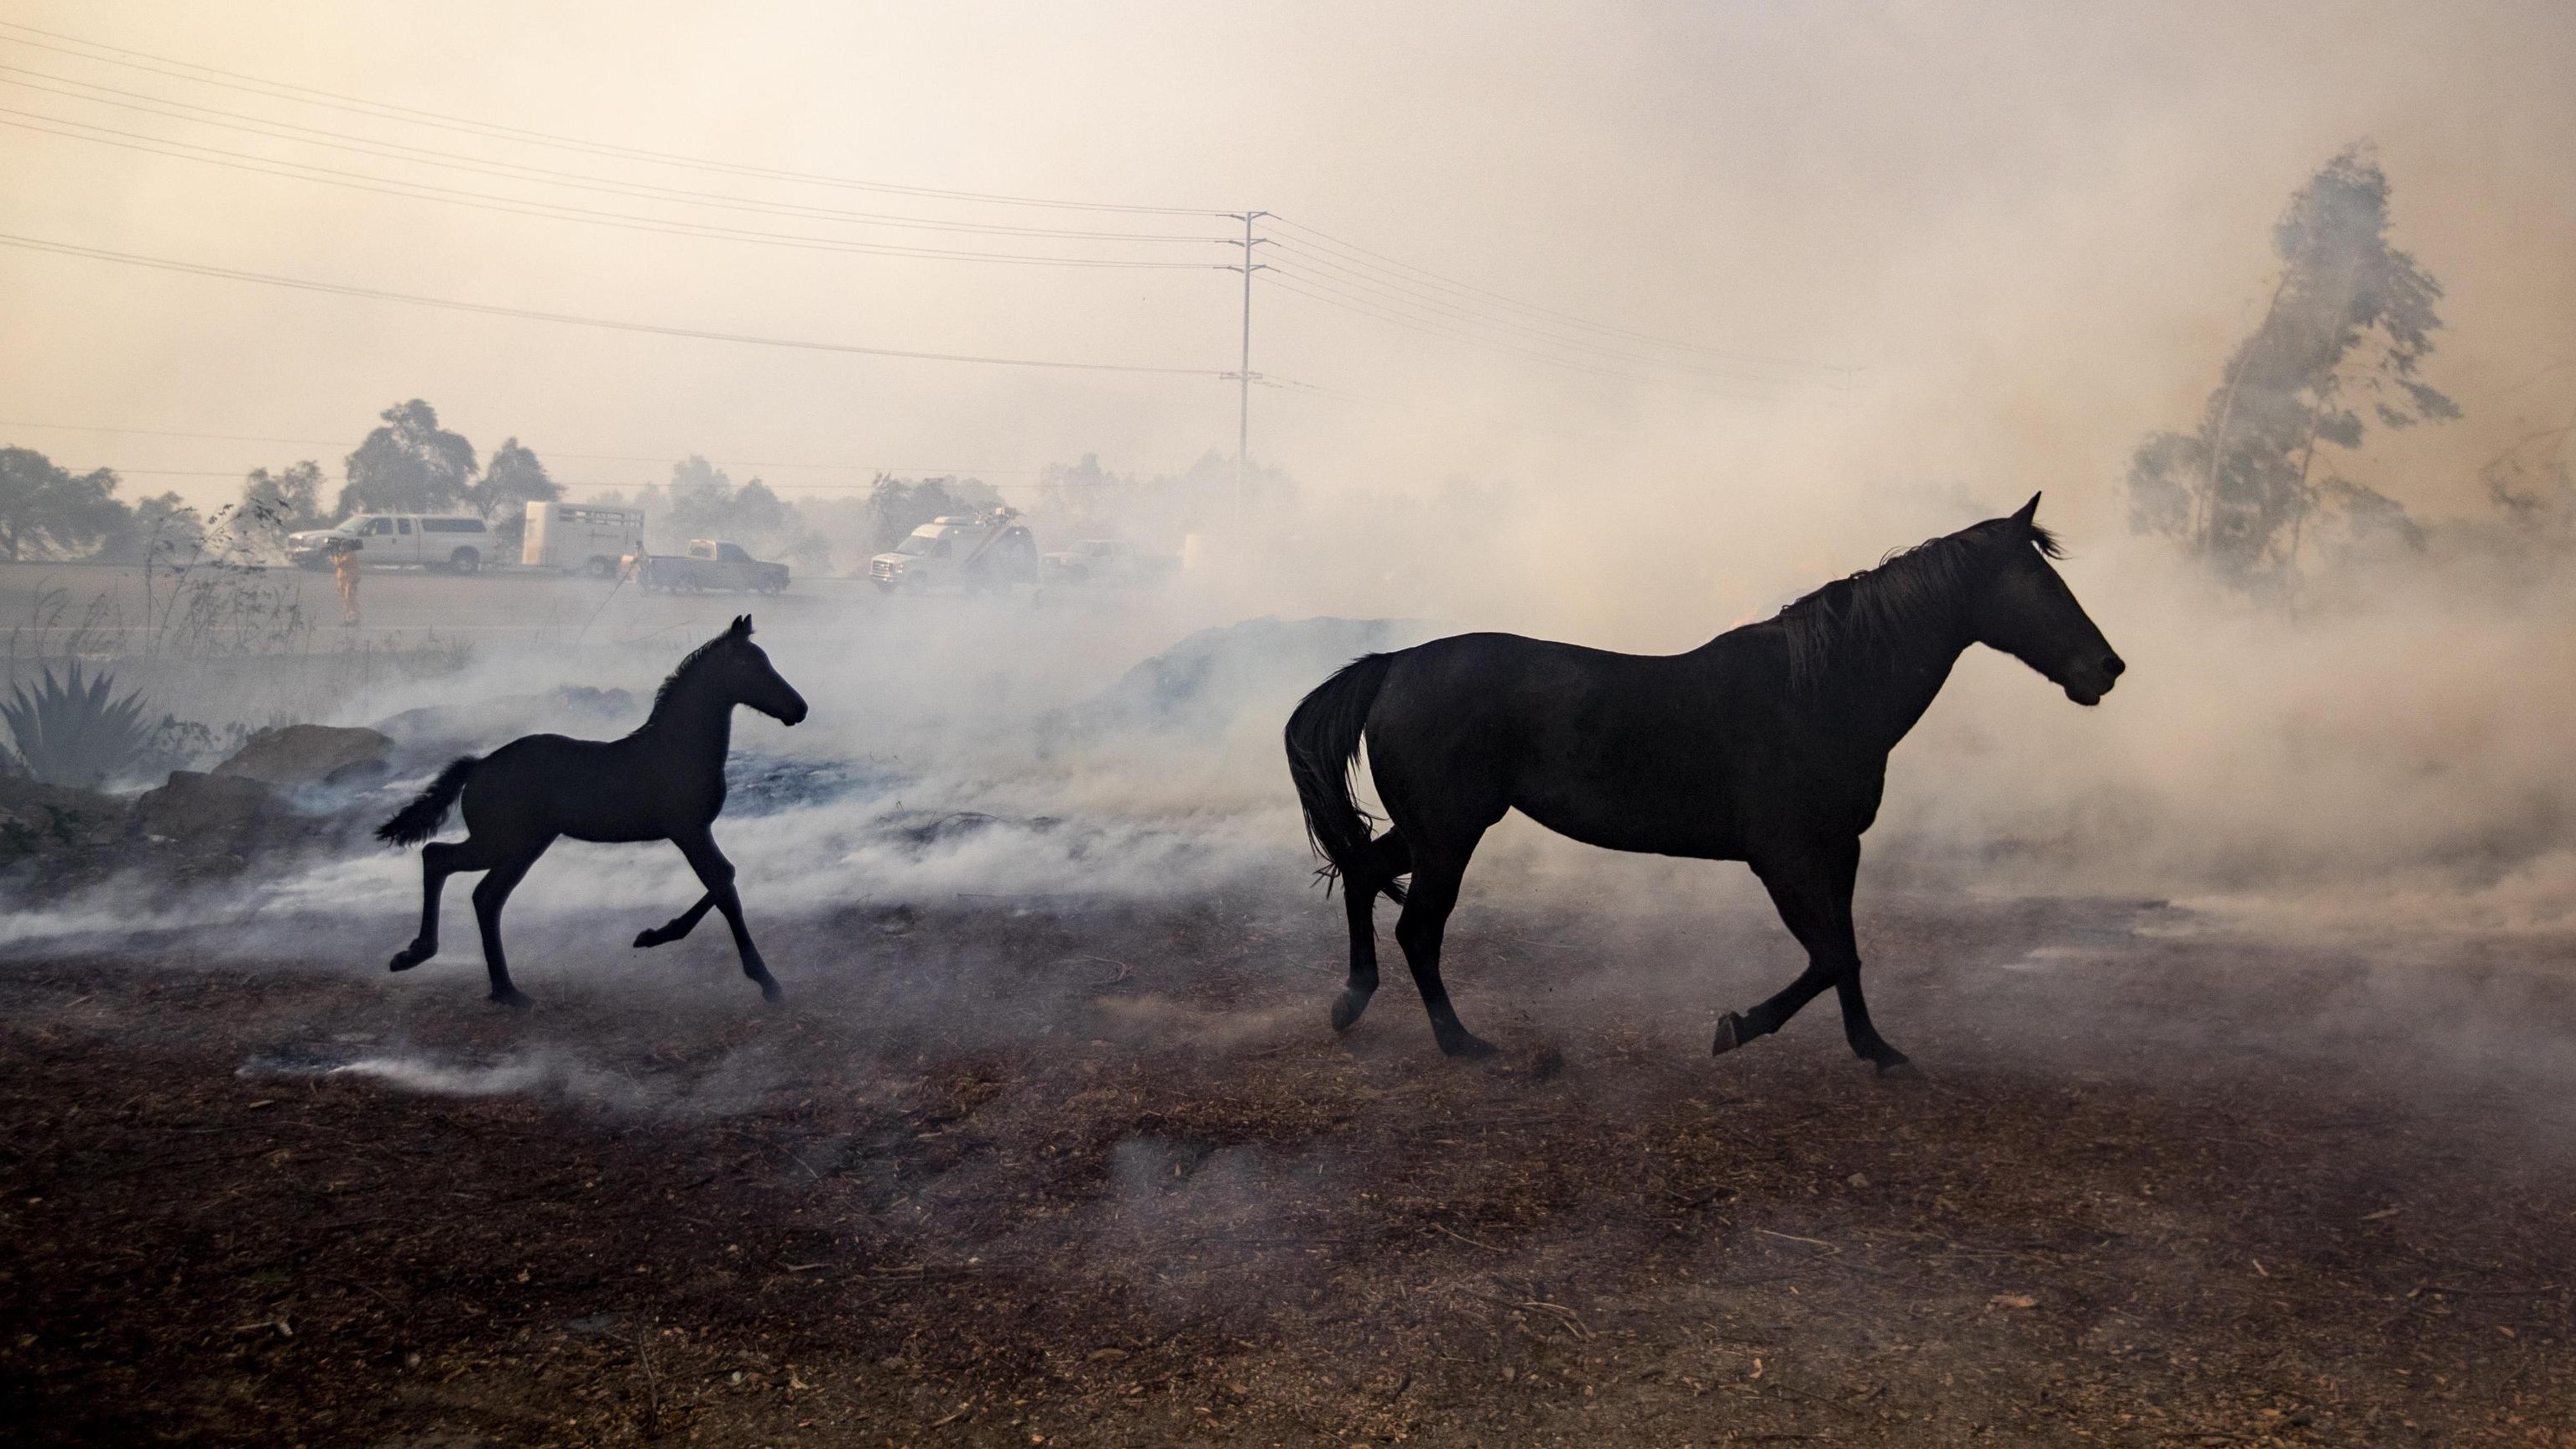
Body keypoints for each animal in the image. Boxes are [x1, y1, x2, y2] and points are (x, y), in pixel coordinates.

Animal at [374, 614, 809, 1005]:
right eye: (748, 665)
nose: (799, 708)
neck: (677, 748)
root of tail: (478, 766)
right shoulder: (689, 830)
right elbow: (722, 884)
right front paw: (766, 981)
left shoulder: (692, 832)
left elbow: (725, 879)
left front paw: (652, 936)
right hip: (504, 842)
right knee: (442, 862)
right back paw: (430, 959)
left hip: (523, 844)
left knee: (480, 892)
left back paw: (499, 987)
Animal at [1284, 495, 2122, 1074]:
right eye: (2041, 583)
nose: (2107, 668)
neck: (1819, 691)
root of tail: (1394, 663)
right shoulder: (1784, 856)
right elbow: (1829, 956)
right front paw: (1737, 1027)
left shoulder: (1838, 850)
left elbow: (1846, 952)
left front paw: (1877, 1049)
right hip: (1451, 835)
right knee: (1417, 929)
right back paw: (1461, 1041)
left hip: (1435, 830)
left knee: (1362, 873)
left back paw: (1351, 1002)